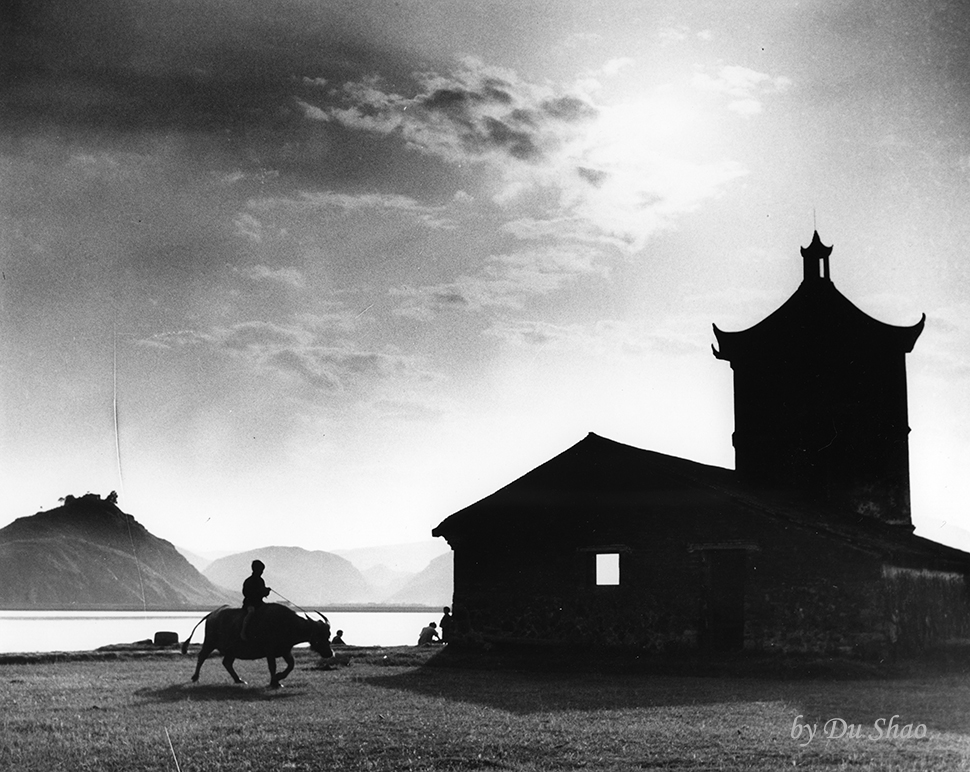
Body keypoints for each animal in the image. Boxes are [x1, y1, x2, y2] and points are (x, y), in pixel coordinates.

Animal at [182, 604, 332, 688]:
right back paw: (195, 677)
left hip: (232, 650)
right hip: (210, 642)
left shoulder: (285, 650)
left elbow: (291, 665)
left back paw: (238, 680)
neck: (287, 624)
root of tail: (212, 614)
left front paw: (279, 677)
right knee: (202, 657)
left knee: (227, 663)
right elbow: (272, 666)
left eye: (328, 634)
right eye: (319, 634)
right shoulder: (270, 651)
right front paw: (275, 682)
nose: (330, 653)